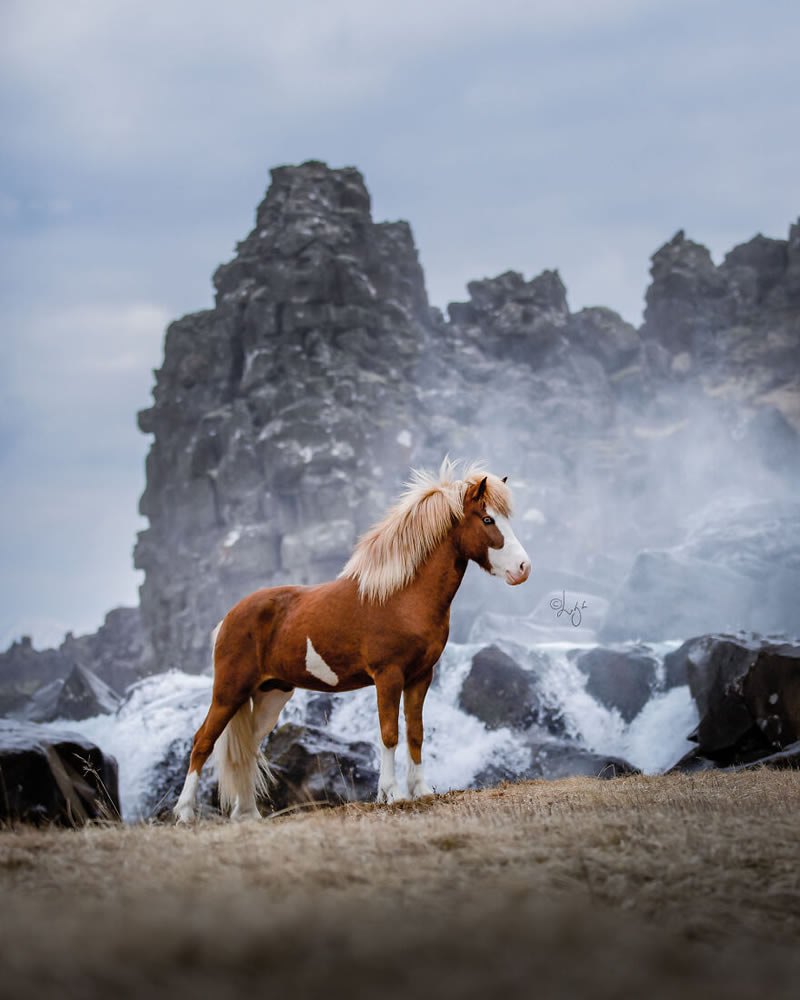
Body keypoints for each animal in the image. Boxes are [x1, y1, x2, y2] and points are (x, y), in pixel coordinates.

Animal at [177, 458, 532, 824]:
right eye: (488, 519)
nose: (523, 568)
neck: (401, 596)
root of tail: (228, 618)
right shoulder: (388, 676)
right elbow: (389, 733)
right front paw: (391, 795)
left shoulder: (421, 676)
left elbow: (415, 733)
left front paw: (420, 791)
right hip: (229, 691)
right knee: (202, 741)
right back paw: (186, 814)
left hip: (269, 695)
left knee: (247, 746)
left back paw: (247, 814)